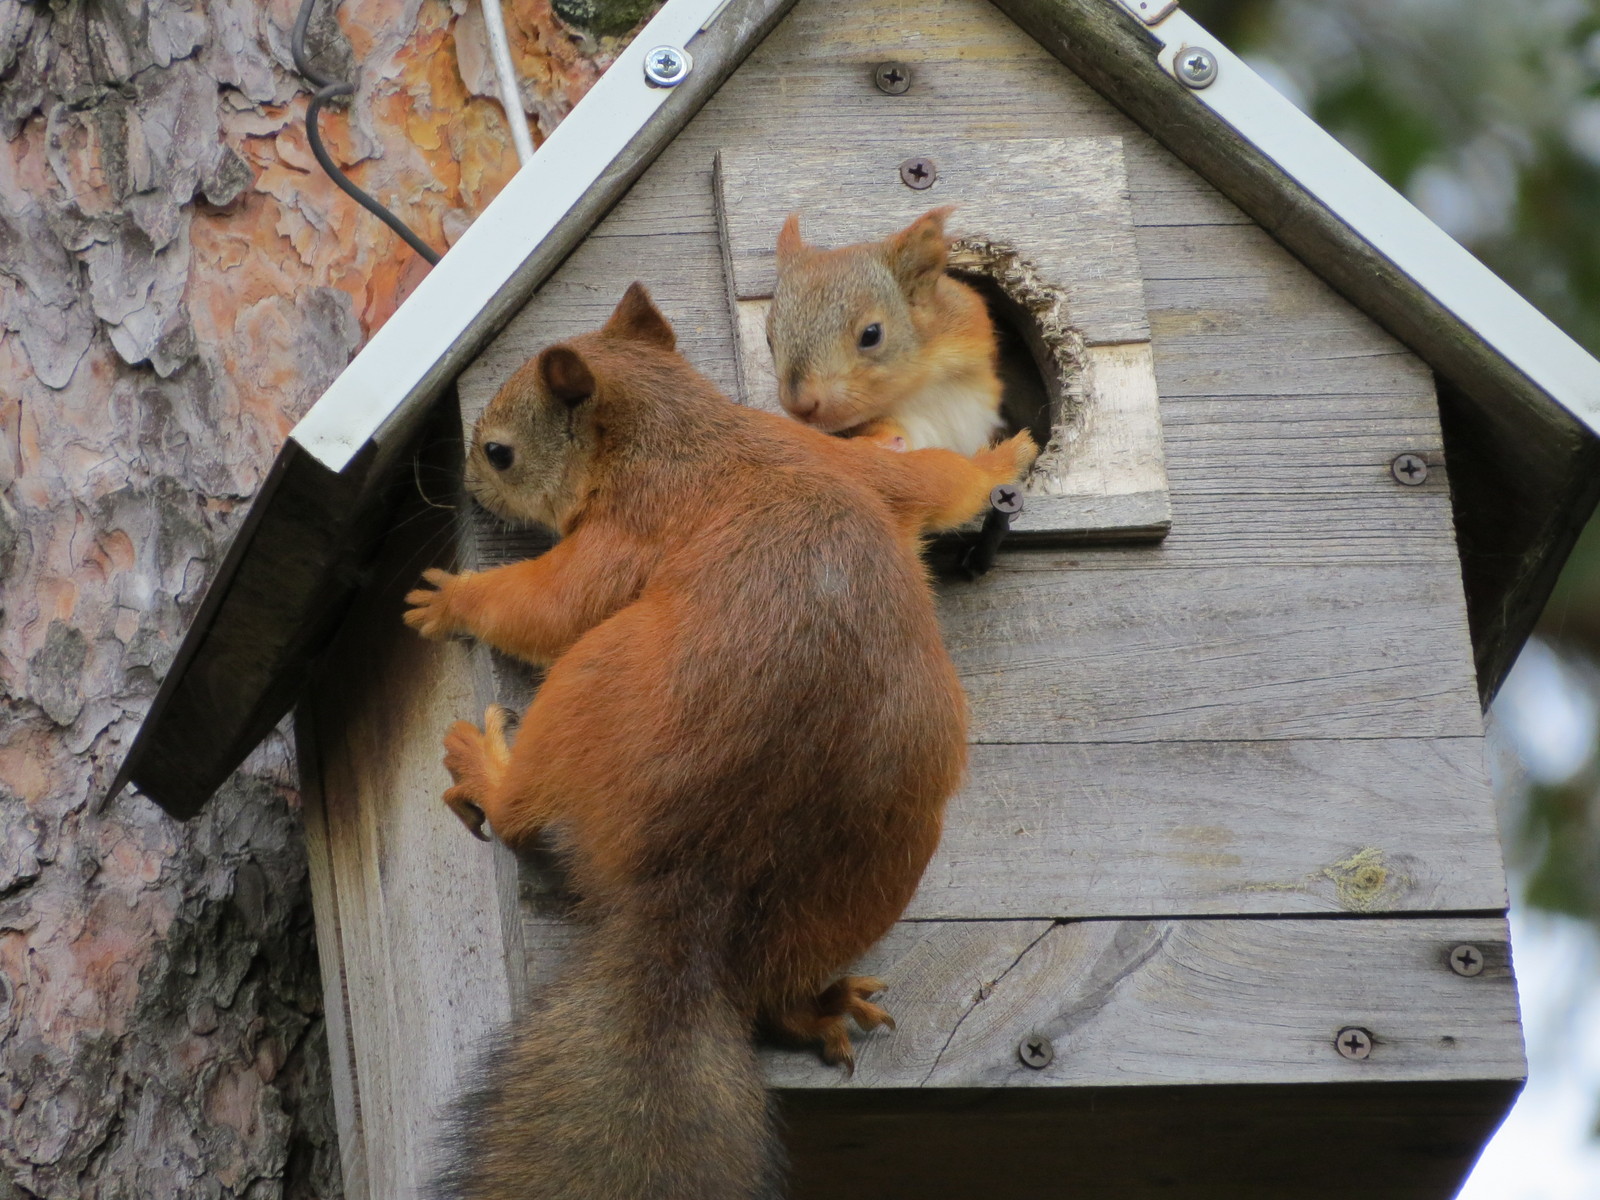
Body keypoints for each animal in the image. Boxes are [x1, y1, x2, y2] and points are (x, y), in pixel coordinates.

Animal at [403, 284, 1036, 1200]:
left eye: (499, 451)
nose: (465, 486)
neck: (684, 429)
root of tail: (696, 888)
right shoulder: (839, 463)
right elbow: (932, 481)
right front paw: (1002, 457)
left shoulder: (625, 533)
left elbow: (548, 605)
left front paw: (449, 598)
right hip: (875, 872)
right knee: (775, 987)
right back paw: (817, 1009)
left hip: (591, 681)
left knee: (525, 807)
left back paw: (486, 769)